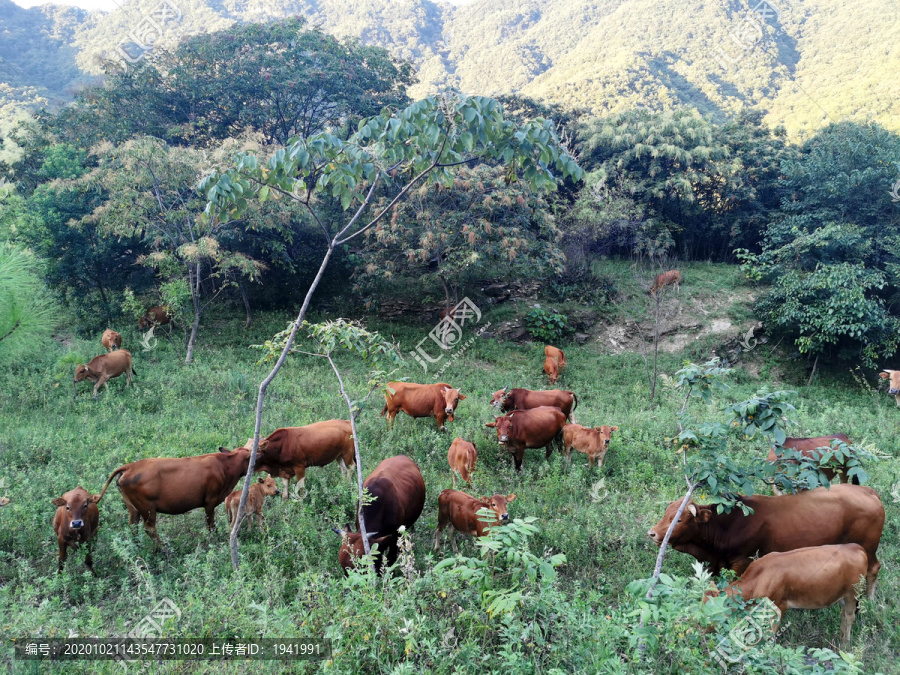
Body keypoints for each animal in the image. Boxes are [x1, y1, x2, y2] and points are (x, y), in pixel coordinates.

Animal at [96, 446, 251, 548]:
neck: (225, 465)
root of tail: (130, 466)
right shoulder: (210, 502)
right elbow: (210, 524)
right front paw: (215, 538)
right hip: (147, 509)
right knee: (149, 528)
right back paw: (163, 549)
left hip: (133, 508)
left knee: (133, 525)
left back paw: (137, 546)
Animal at [648, 486, 884, 596]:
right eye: (665, 513)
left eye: (678, 519)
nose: (652, 533)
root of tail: (868, 491)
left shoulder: (742, 562)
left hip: (868, 547)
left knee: (874, 568)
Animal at [708, 540, 868, 648]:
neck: (759, 576)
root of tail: (856, 546)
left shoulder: (779, 606)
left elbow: (770, 633)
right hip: (842, 596)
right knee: (843, 617)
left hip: (852, 595)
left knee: (849, 618)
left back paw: (845, 645)